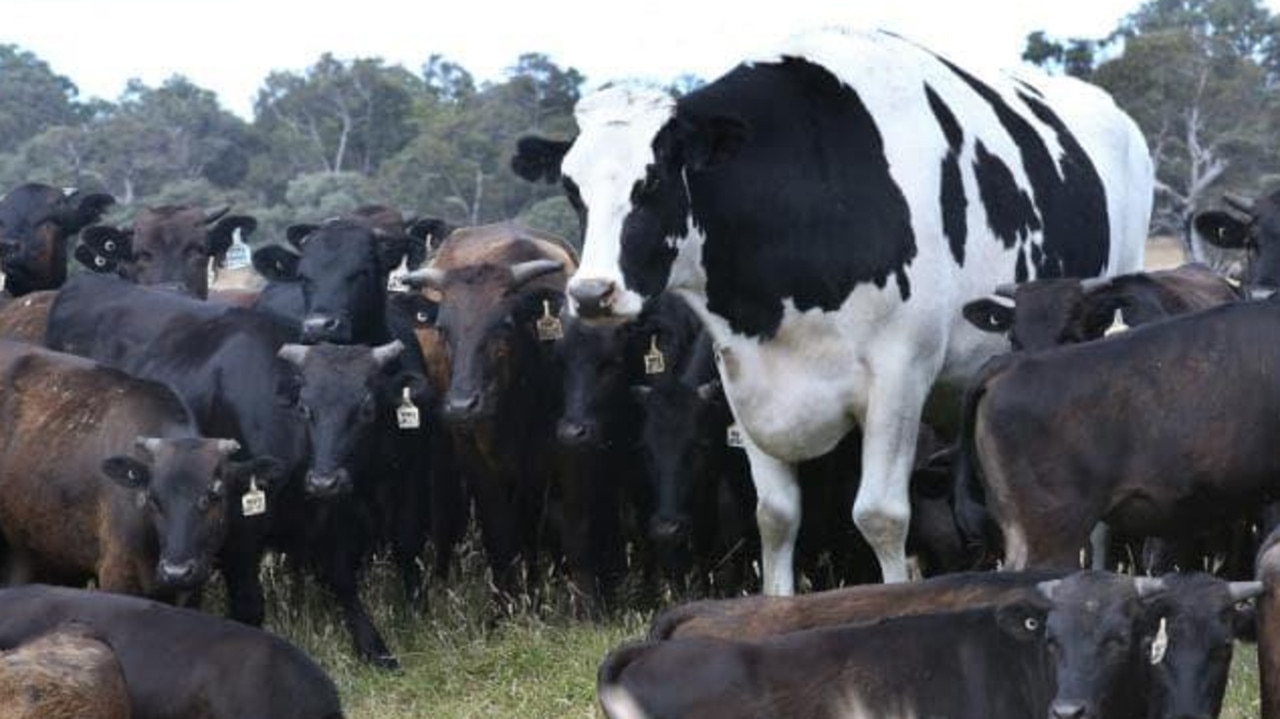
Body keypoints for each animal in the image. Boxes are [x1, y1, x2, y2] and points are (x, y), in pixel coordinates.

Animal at [514, 26, 1157, 588]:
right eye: (572, 188)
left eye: (650, 182)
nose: (591, 293)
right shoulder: (744, 381)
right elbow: (774, 517)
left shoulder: (900, 375)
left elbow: (880, 516)